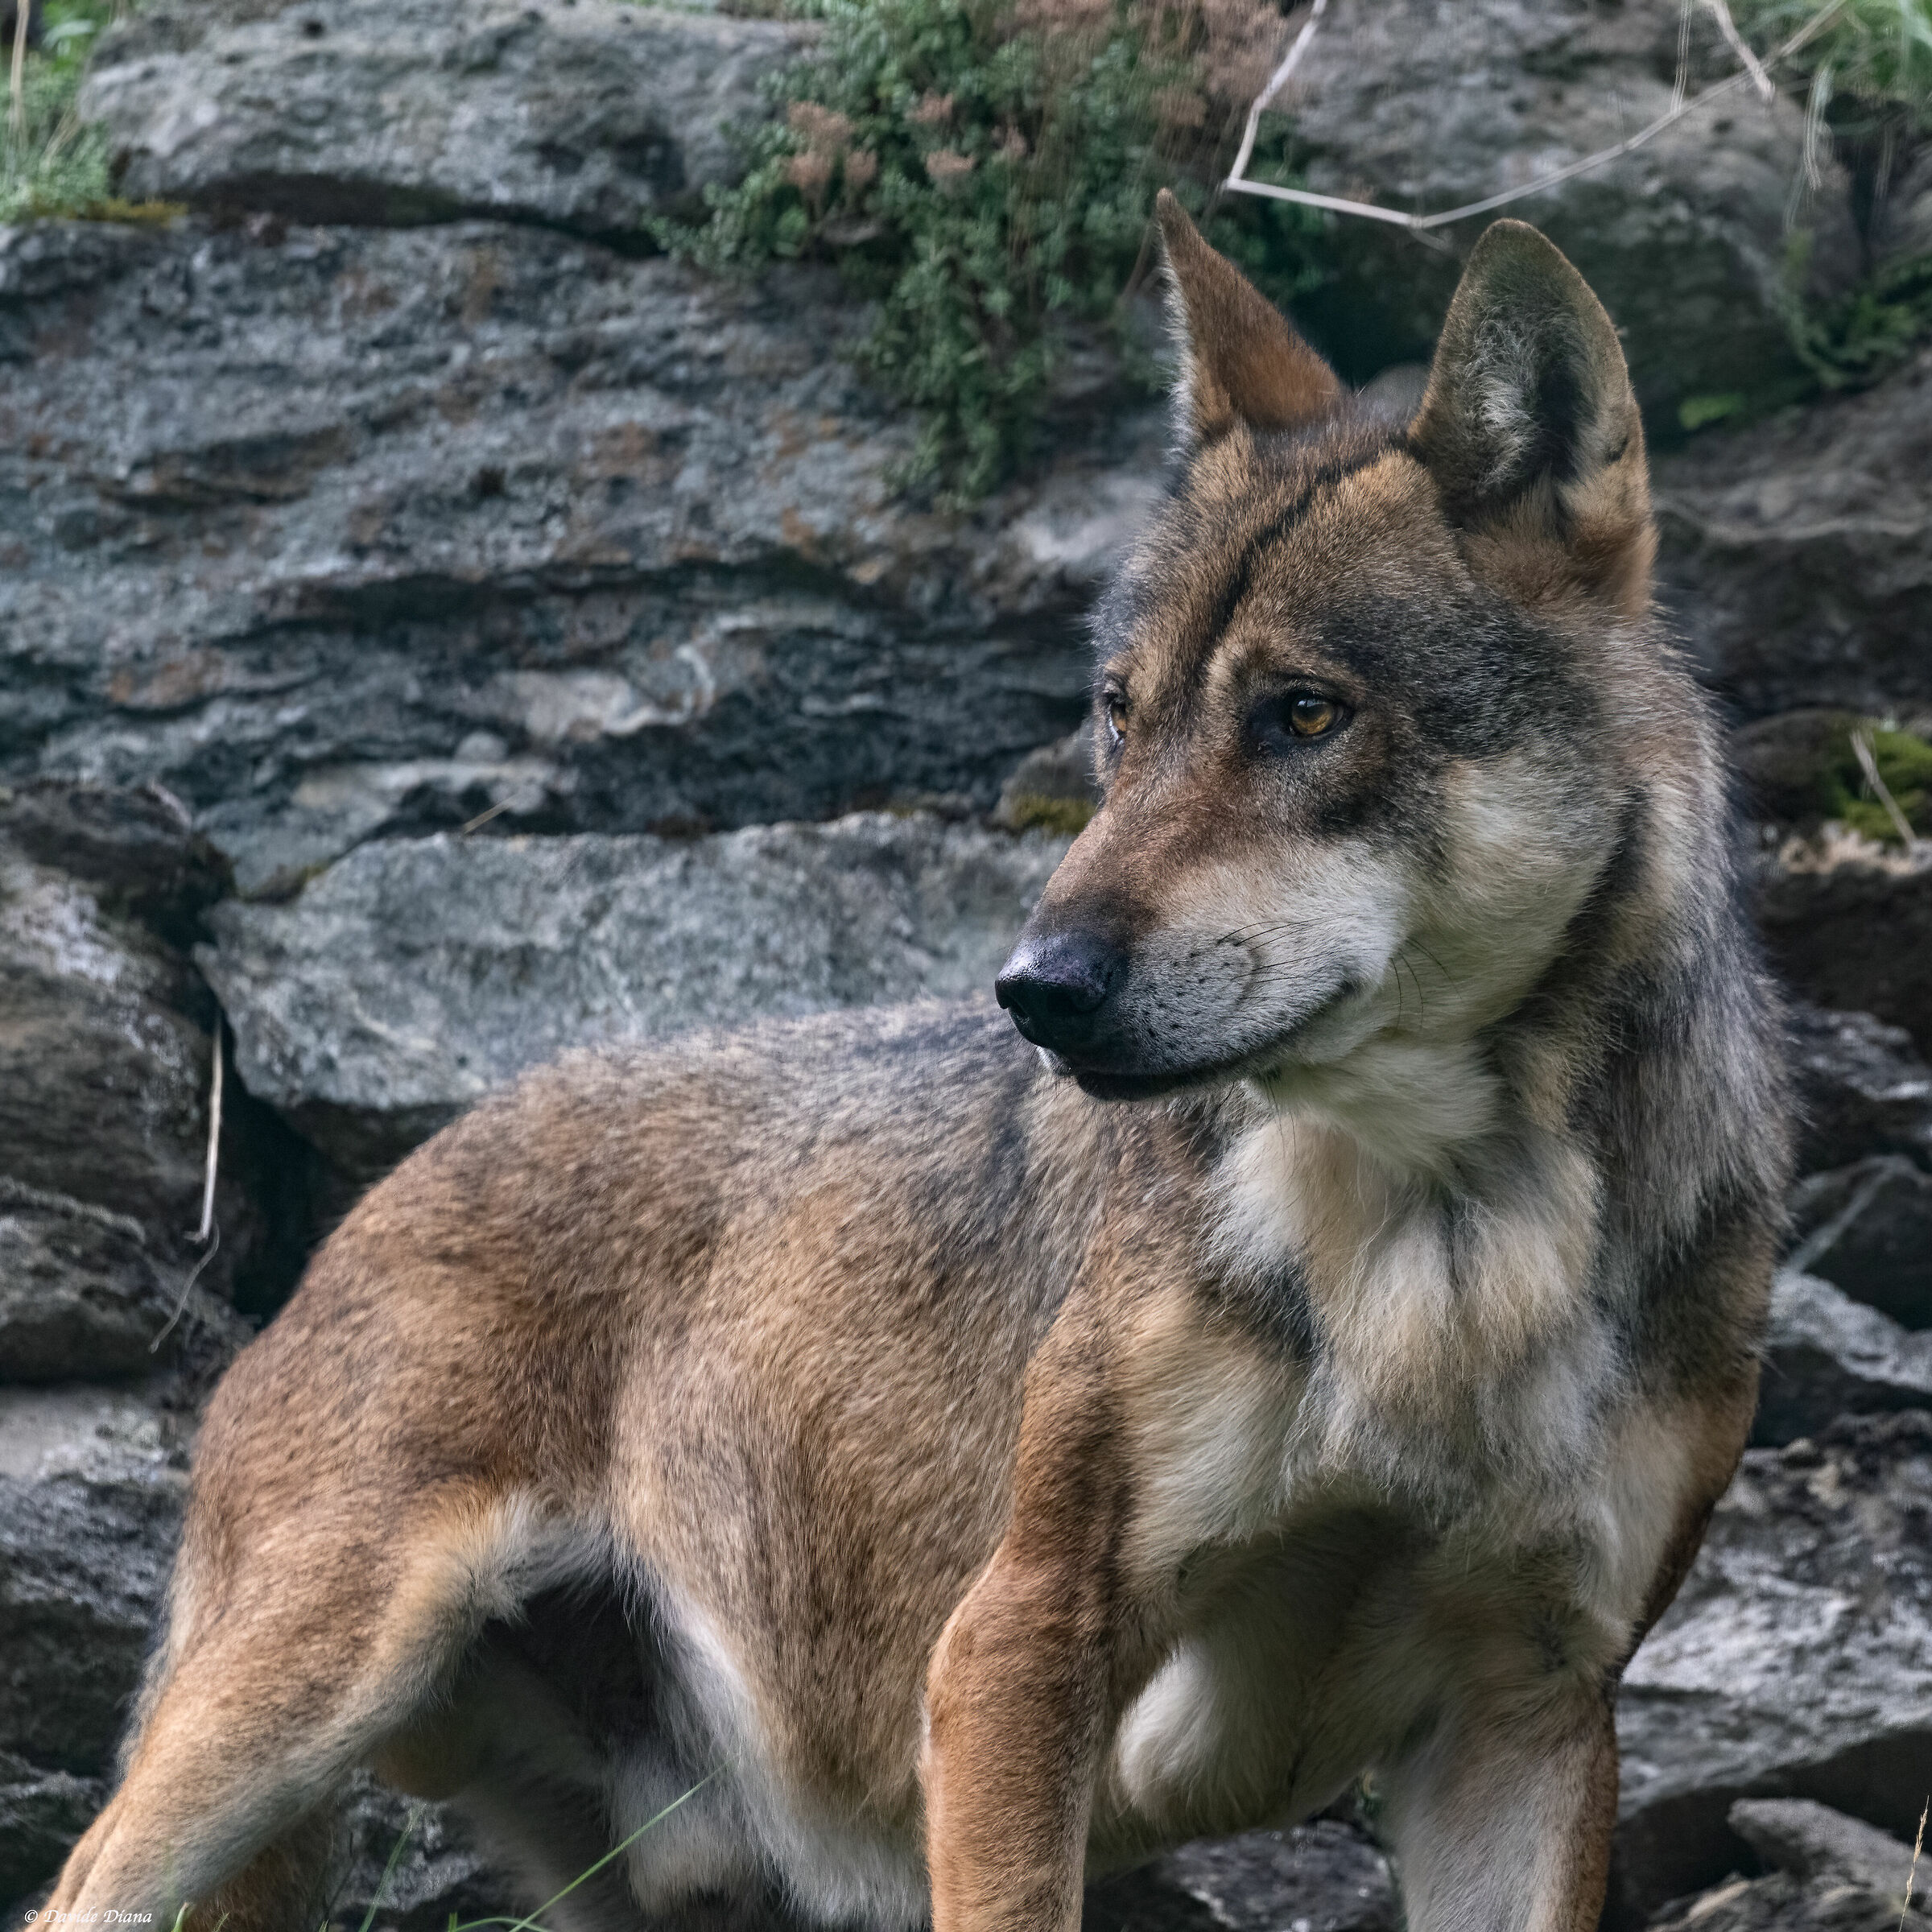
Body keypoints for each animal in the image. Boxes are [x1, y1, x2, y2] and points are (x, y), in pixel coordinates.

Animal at [49, 198, 1789, 1932]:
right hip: (290, 1716)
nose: (1035, 990)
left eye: (1304, 714)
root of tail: (352, 1222)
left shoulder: (1528, 1713)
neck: (1443, 1250)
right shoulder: (1012, 1647)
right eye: (1120, 718)